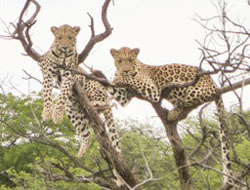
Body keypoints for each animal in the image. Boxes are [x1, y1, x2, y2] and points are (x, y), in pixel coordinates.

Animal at [40, 24, 120, 157]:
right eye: (59, 37)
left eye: (70, 37)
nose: (65, 48)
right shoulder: (47, 72)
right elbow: (46, 93)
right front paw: (47, 113)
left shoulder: (69, 75)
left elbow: (62, 95)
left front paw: (56, 116)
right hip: (72, 110)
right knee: (87, 133)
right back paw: (80, 155)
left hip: (92, 86)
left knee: (102, 104)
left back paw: (93, 104)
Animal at [109, 47, 234, 187]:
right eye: (120, 61)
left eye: (130, 60)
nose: (125, 70)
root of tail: (213, 82)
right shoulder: (124, 97)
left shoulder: (151, 89)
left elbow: (131, 79)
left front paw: (121, 77)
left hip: (182, 86)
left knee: (185, 101)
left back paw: (172, 114)